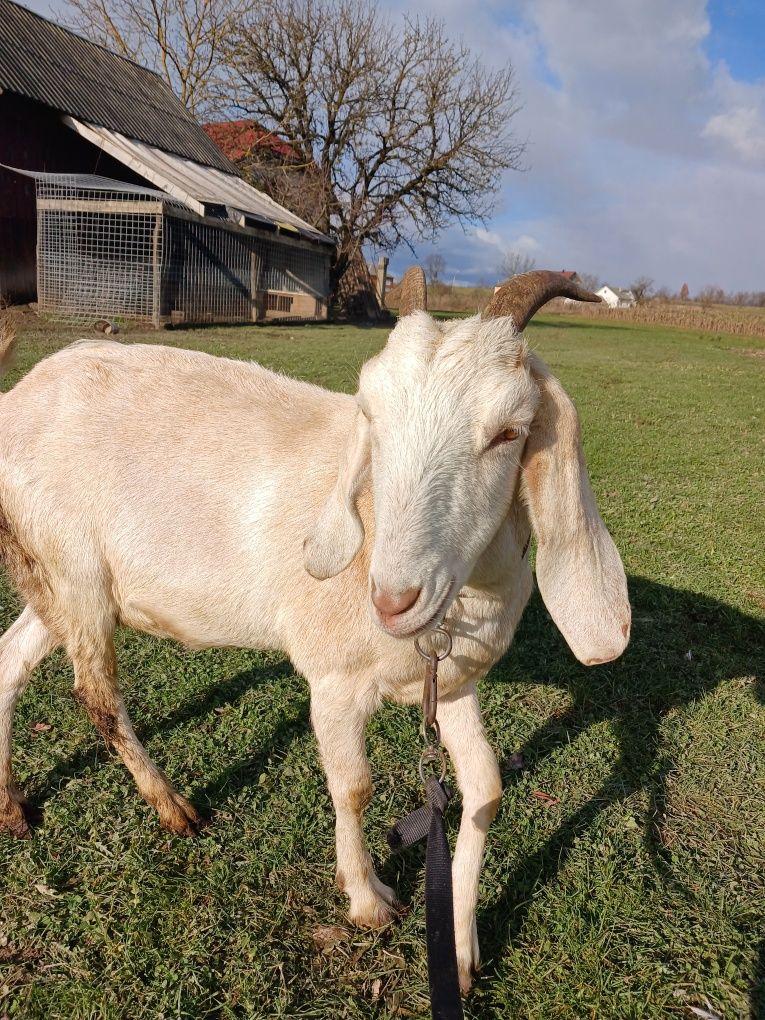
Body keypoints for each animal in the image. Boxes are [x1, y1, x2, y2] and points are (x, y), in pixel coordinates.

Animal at [0, 273, 632, 995]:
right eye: (373, 420)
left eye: (509, 432)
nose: (394, 599)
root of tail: (15, 401)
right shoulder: (333, 681)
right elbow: (354, 787)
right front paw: (367, 900)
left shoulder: (450, 682)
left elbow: (485, 792)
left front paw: (461, 950)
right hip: (74, 568)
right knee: (96, 694)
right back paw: (173, 809)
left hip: (54, 579)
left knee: (10, 661)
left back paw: (11, 805)